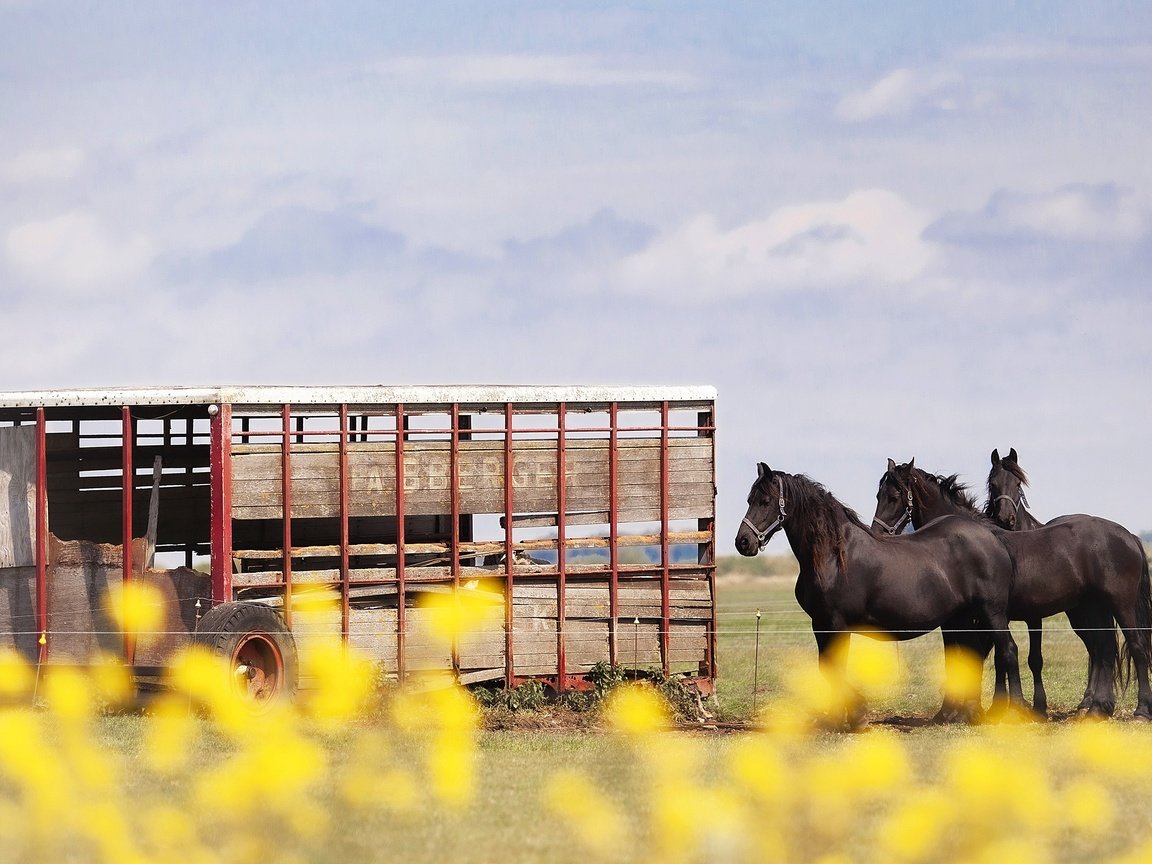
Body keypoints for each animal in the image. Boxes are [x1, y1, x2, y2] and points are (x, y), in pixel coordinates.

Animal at [737, 463, 1027, 728]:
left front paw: (855, 715)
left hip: (991, 612)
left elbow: (835, 668)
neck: (834, 555)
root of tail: (994, 538)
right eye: (749, 499)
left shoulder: (836, 623)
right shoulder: (819, 624)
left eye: (765, 501)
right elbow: (827, 667)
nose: (743, 542)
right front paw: (837, 717)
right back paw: (966, 713)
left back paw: (1013, 712)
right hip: (962, 618)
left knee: (1007, 651)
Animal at [870, 456, 1152, 718]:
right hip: (1092, 610)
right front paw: (955, 710)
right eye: (878, 495)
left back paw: (1140, 711)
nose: (877, 533)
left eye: (894, 496)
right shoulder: (960, 621)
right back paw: (1096, 708)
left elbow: (989, 657)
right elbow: (964, 658)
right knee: (1103, 649)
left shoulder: (983, 618)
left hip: (1120, 605)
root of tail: (1129, 536)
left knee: (1135, 646)